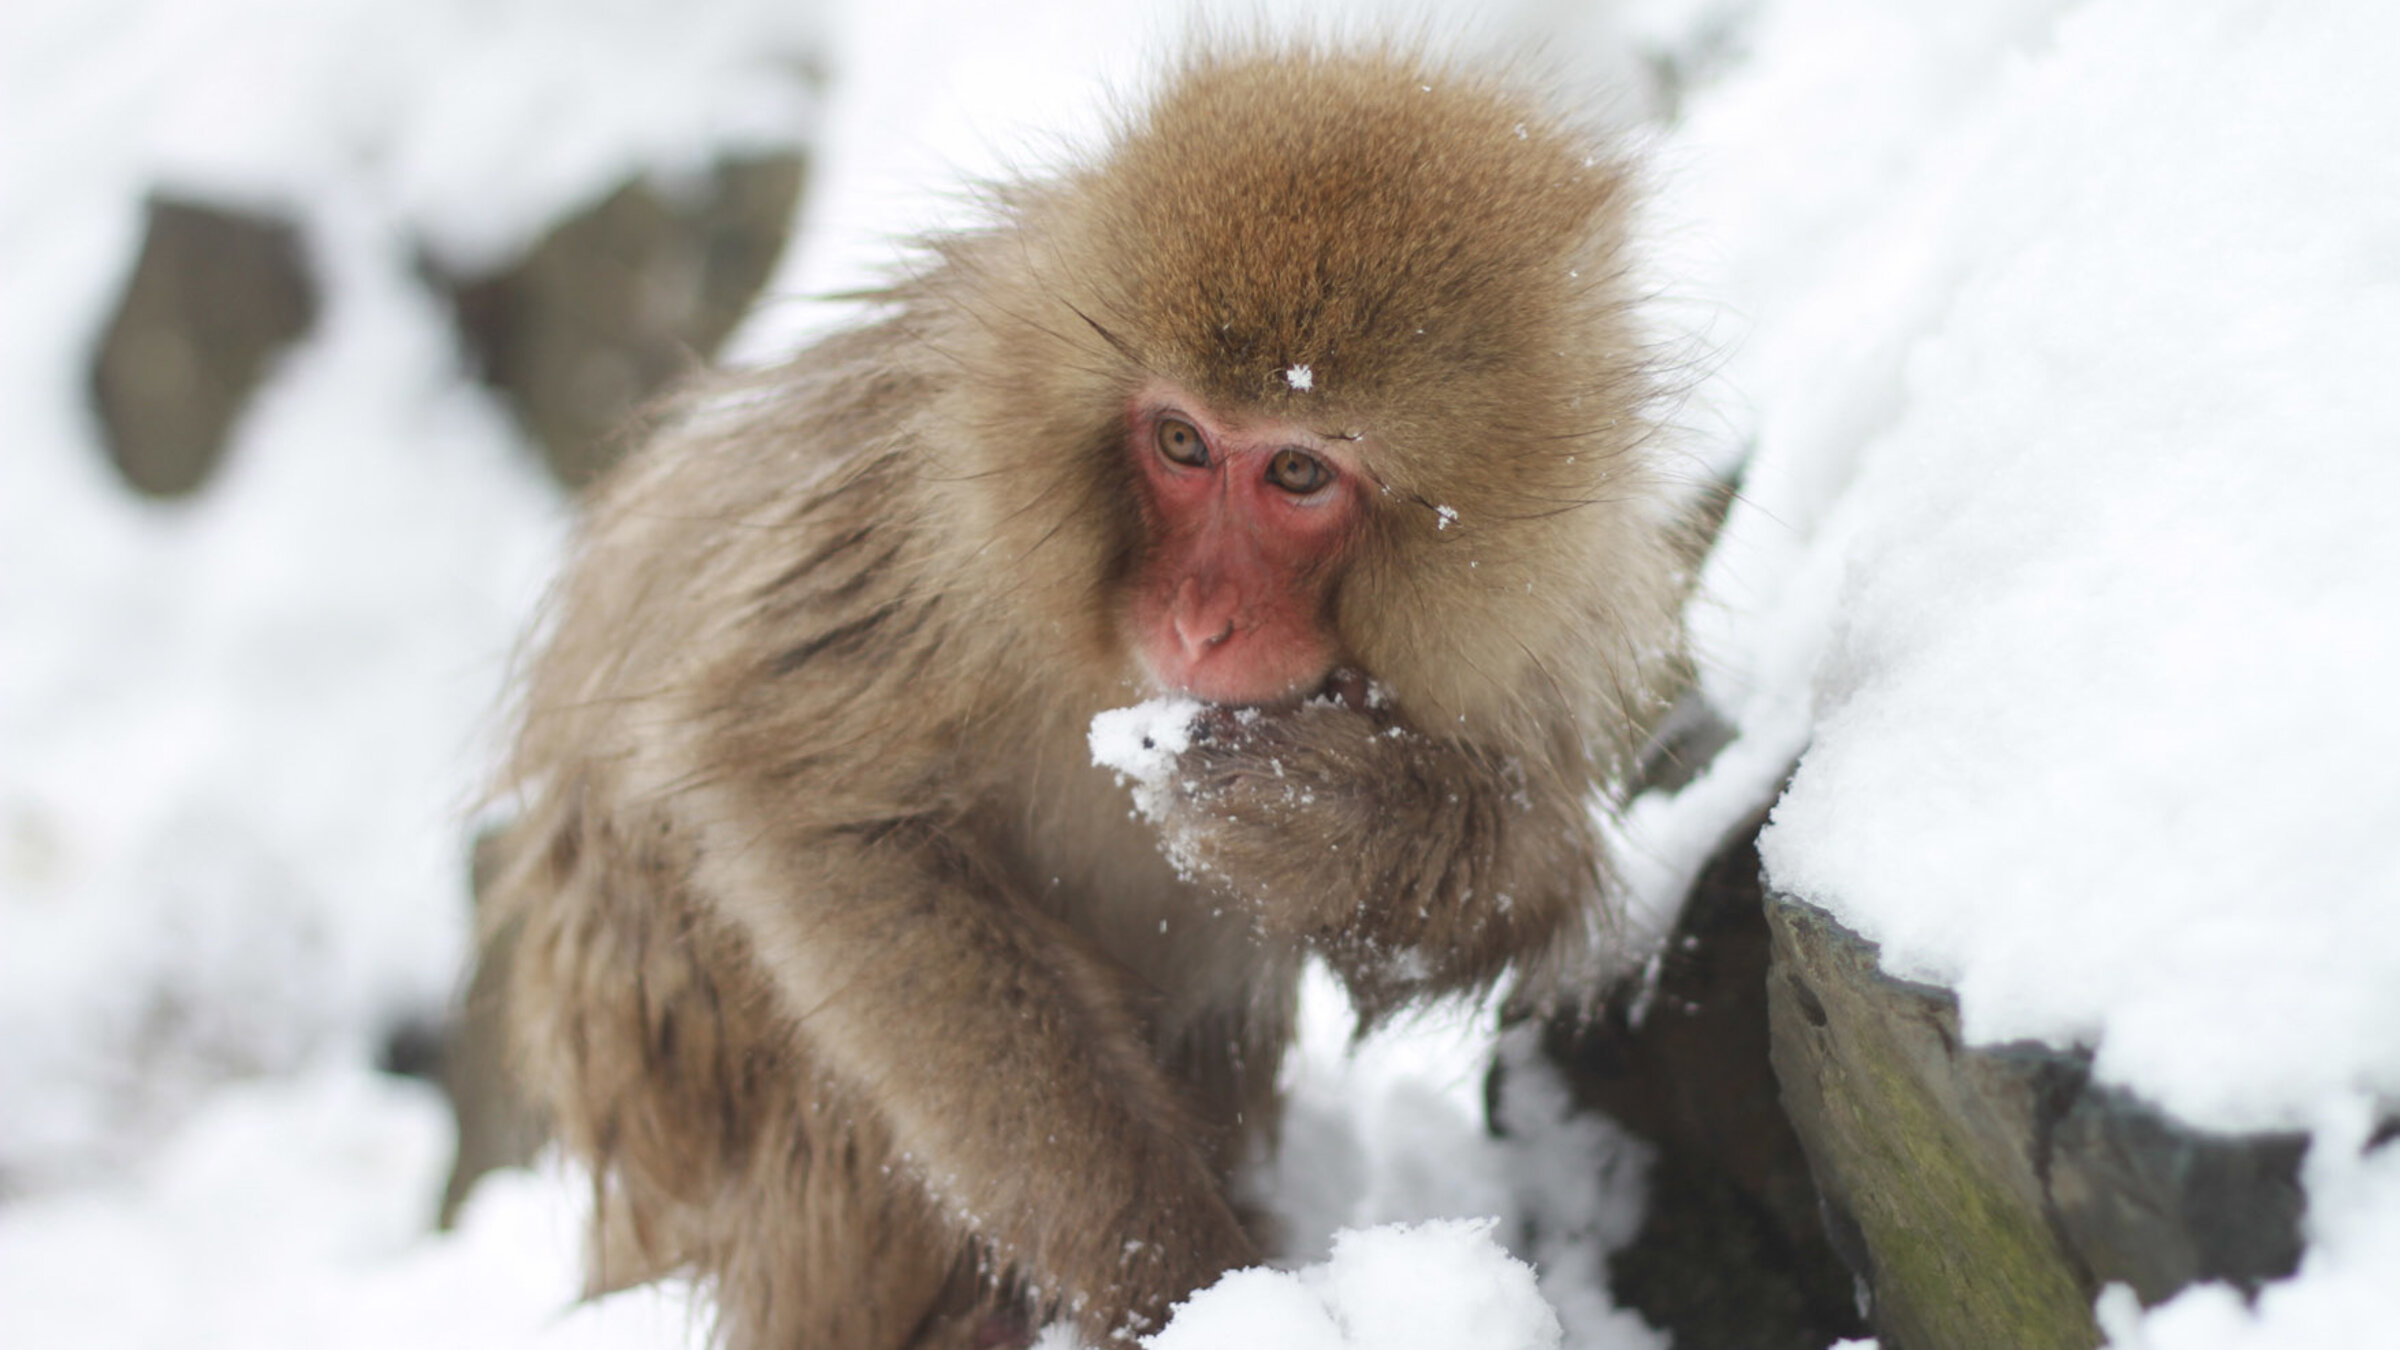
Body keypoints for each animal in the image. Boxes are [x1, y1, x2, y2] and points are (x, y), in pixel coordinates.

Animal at [478, 43, 1687, 1350]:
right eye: (1181, 443)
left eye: (1298, 469)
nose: (1199, 620)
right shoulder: (932, 523)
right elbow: (802, 801)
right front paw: (1180, 1280)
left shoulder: (1543, 635)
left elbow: (1512, 896)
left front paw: (1317, 816)